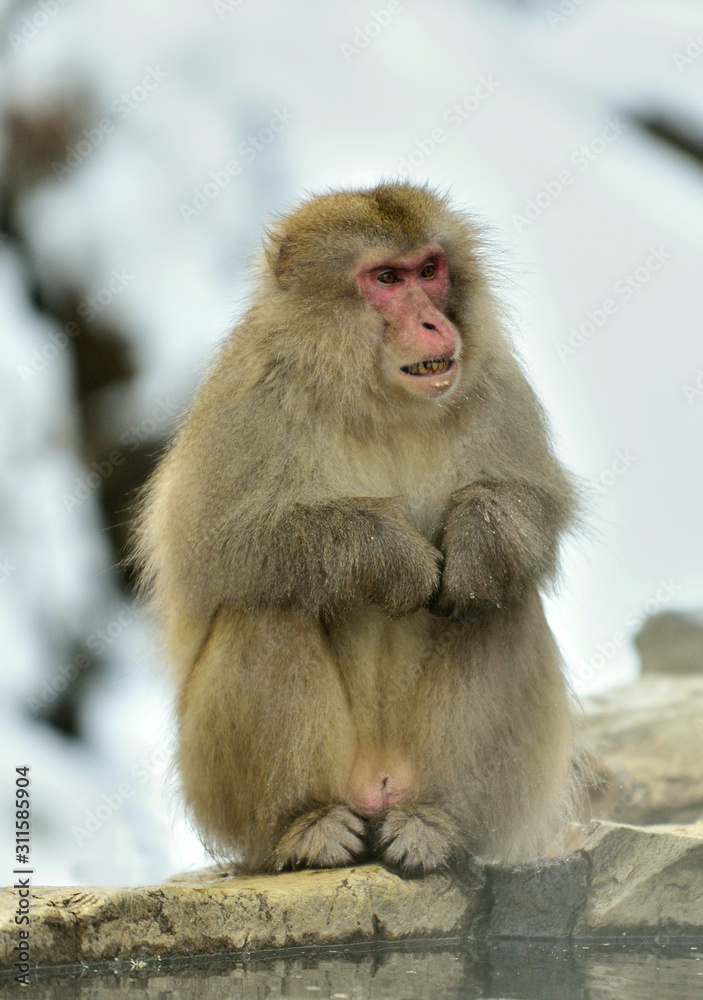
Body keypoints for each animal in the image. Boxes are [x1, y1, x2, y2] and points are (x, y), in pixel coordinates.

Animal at [135, 182, 580, 876]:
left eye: (430, 270)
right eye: (387, 278)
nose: (433, 321)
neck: (375, 400)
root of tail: (377, 786)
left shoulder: (495, 383)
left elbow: (532, 507)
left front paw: (478, 536)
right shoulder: (250, 398)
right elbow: (212, 545)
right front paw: (387, 554)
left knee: (497, 599)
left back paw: (436, 824)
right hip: (219, 783)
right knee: (270, 605)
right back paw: (303, 827)